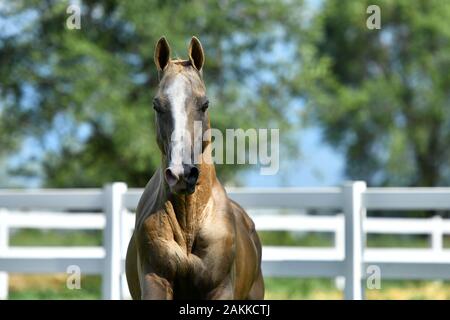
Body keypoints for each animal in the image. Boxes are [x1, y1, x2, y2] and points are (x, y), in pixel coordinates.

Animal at [125, 36, 264, 298]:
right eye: (157, 105)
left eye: (204, 104)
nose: (181, 174)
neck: (189, 223)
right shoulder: (155, 280)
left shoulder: (219, 289)